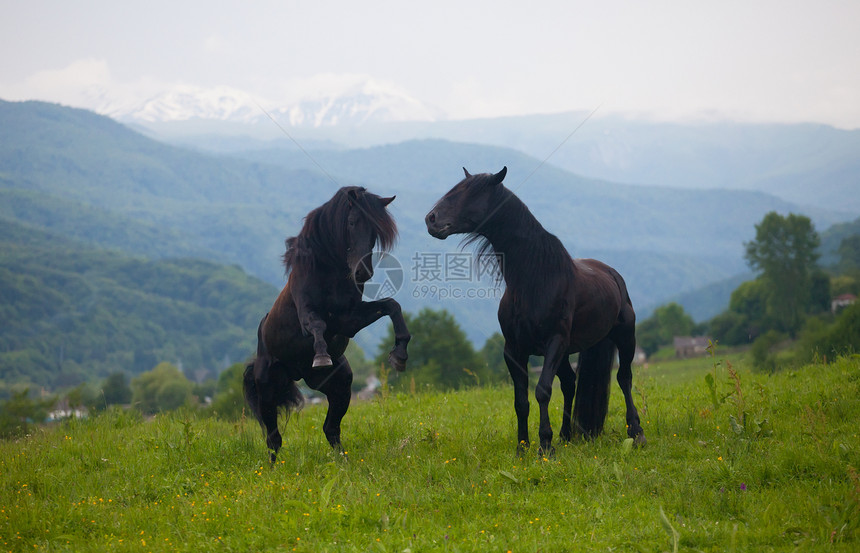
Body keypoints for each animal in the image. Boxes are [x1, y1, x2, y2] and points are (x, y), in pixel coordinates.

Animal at [245, 187, 410, 462]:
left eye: (376, 231)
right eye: (352, 222)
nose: (363, 273)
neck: (328, 271)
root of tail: (297, 373)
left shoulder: (350, 320)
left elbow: (391, 306)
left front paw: (399, 355)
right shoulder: (308, 315)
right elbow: (317, 325)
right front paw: (321, 356)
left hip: (339, 385)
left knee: (330, 428)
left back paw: (343, 462)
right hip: (267, 390)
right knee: (273, 439)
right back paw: (272, 468)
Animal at [426, 167, 640, 452]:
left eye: (471, 193)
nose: (431, 219)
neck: (535, 280)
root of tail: (612, 274)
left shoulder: (554, 343)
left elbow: (542, 391)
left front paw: (544, 445)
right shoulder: (514, 350)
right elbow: (521, 401)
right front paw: (522, 447)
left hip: (625, 337)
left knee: (624, 379)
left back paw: (636, 432)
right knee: (570, 383)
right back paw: (566, 436)